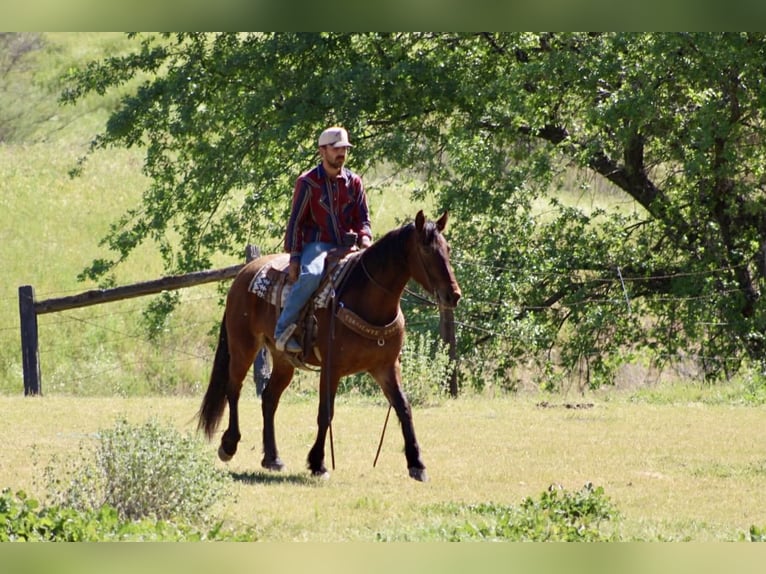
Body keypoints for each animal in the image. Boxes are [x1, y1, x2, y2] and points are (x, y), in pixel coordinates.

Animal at [196, 210, 461, 481]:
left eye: (448, 248)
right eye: (426, 249)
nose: (453, 295)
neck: (368, 301)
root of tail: (244, 273)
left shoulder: (385, 367)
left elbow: (404, 407)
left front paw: (417, 463)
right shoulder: (332, 368)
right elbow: (326, 412)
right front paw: (318, 463)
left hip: (283, 360)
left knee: (269, 398)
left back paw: (273, 458)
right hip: (243, 346)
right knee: (233, 389)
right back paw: (229, 445)